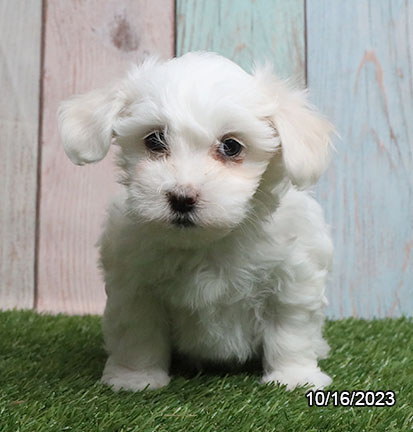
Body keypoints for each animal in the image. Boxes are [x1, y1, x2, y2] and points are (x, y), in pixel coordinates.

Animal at [58, 51, 334, 392]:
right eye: (154, 140)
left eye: (231, 146)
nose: (182, 197)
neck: (208, 242)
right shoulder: (135, 286)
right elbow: (138, 334)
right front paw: (136, 379)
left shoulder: (293, 278)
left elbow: (290, 330)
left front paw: (294, 378)